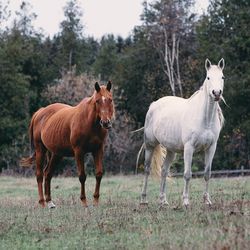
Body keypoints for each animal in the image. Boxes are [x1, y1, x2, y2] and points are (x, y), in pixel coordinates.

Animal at [138, 58, 226, 207]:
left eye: (222, 77)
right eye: (208, 77)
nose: (216, 93)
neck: (205, 119)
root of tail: (154, 104)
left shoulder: (211, 148)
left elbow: (207, 173)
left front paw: (207, 200)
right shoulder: (189, 148)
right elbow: (187, 174)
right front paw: (185, 201)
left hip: (171, 150)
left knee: (164, 171)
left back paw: (163, 200)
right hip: (150, 145)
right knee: (147, 169)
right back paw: (144, 200)